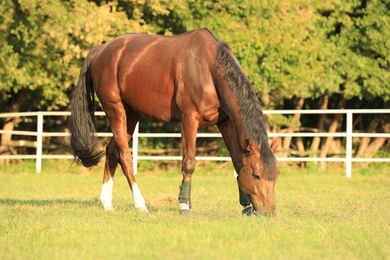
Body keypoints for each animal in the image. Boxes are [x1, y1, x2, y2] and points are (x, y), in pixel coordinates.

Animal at [69, 27, 280, 215]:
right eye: (256, 175)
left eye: (276, 175)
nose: (268, 213)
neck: (209, 69)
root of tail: (101, 49)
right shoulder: (189, 120)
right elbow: (189, 162)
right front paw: (184, 205)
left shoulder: (225, 122)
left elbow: (237, 161)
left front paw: (246, 206)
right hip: (116, 111)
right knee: (125, 157)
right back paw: (140, 204)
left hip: (132, 114)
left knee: (112, 151)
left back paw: (106, 203)